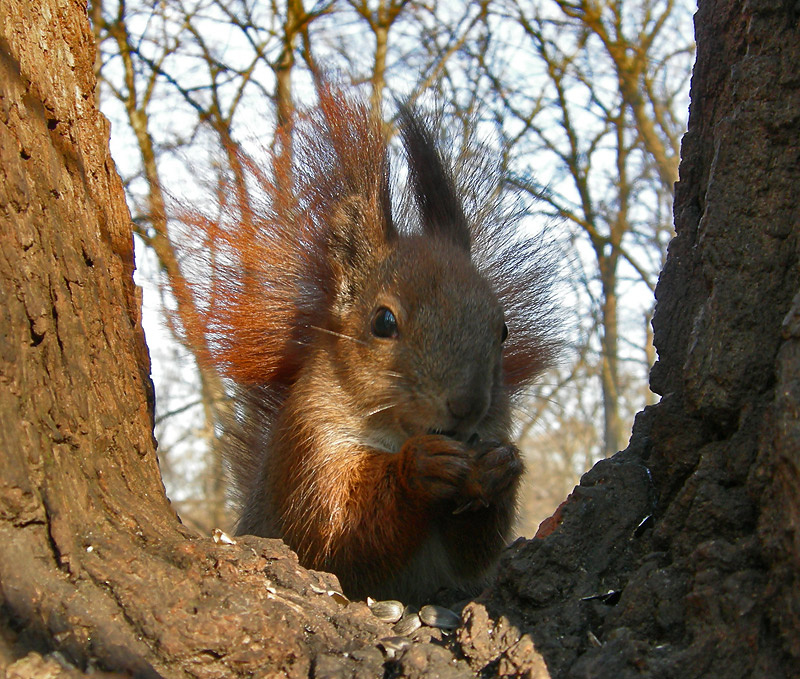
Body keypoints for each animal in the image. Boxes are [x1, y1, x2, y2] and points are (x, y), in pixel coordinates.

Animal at [180, 83, 558, 603]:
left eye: (502, 330)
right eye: (383, 322)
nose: (466, 406)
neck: (398, 432)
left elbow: (474, 554)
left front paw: (500, 468)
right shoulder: (310, 446)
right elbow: (336, 527)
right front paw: (416, 471)